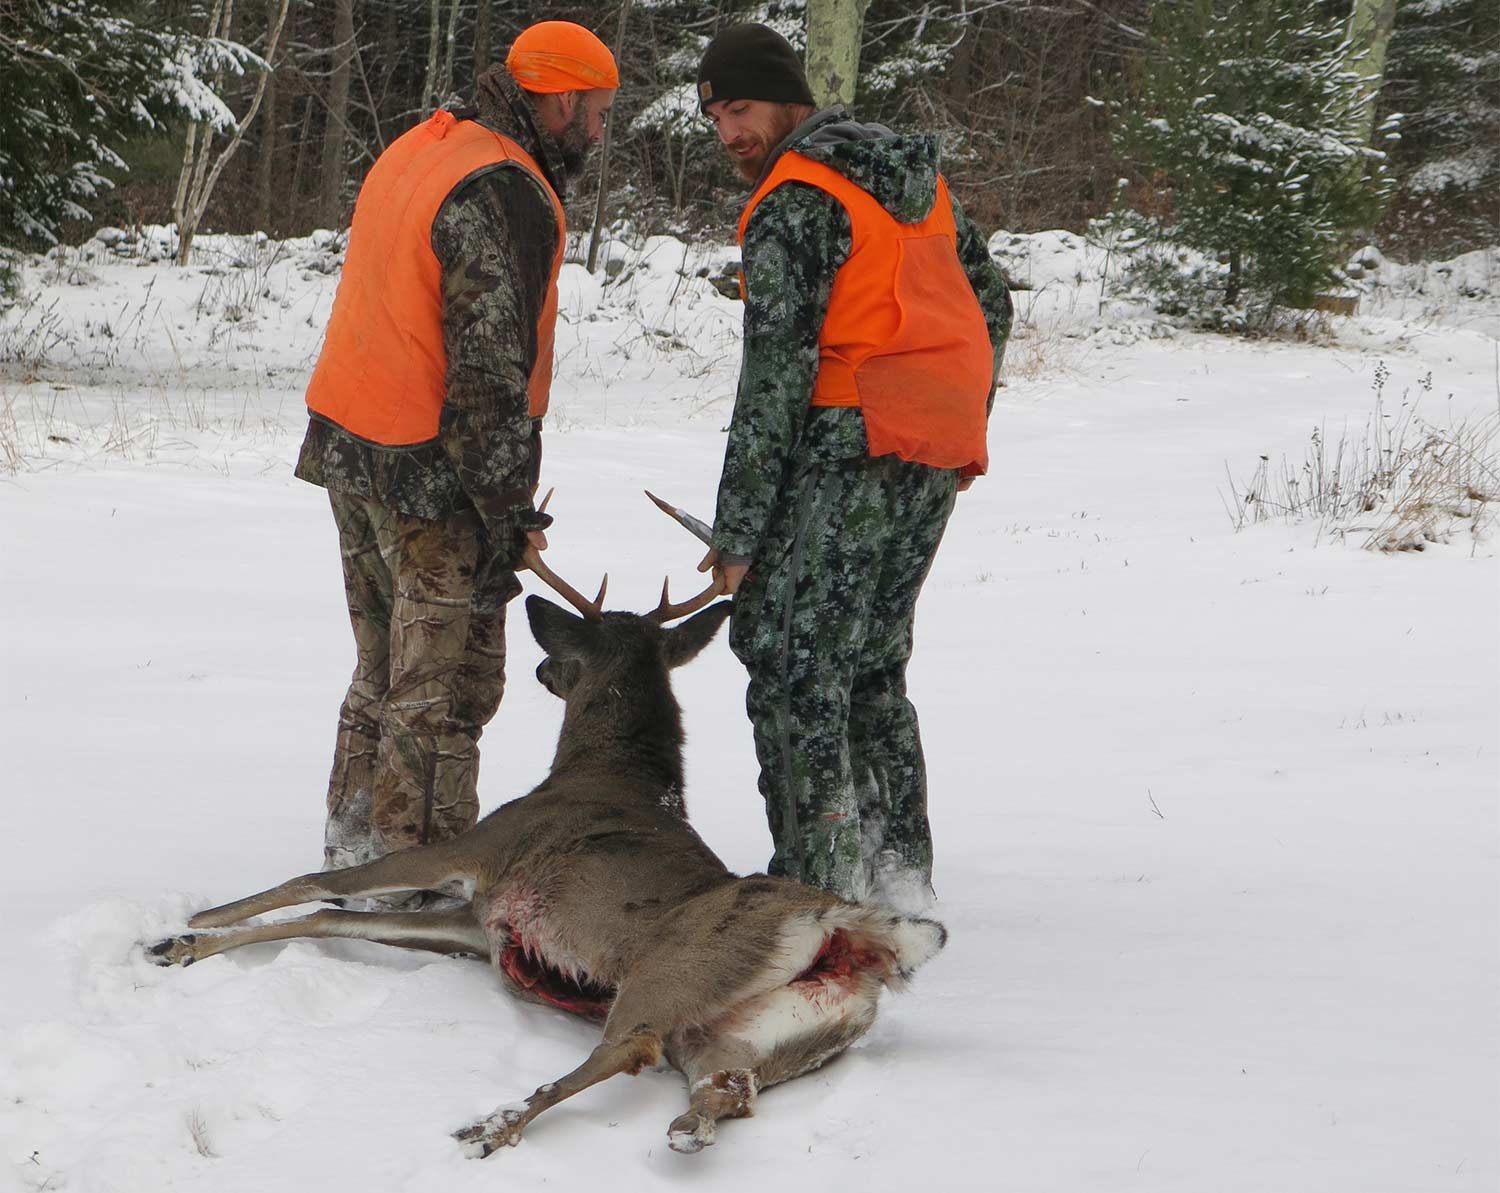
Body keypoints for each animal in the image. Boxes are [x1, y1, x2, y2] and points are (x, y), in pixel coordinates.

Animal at [146, 546, 942, 1152]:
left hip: (670, 970)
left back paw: (491, 1125)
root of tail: (850, 929)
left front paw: (184, 928)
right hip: (745, 1034)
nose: (539, 669)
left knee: (628, 1046)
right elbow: (336, 918)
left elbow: (320, 881)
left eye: (567, 651)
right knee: (728, 1088)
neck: (602, 768)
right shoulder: (482, 923)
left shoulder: (483, 848)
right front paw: (182, 943)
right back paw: (684, 1128)